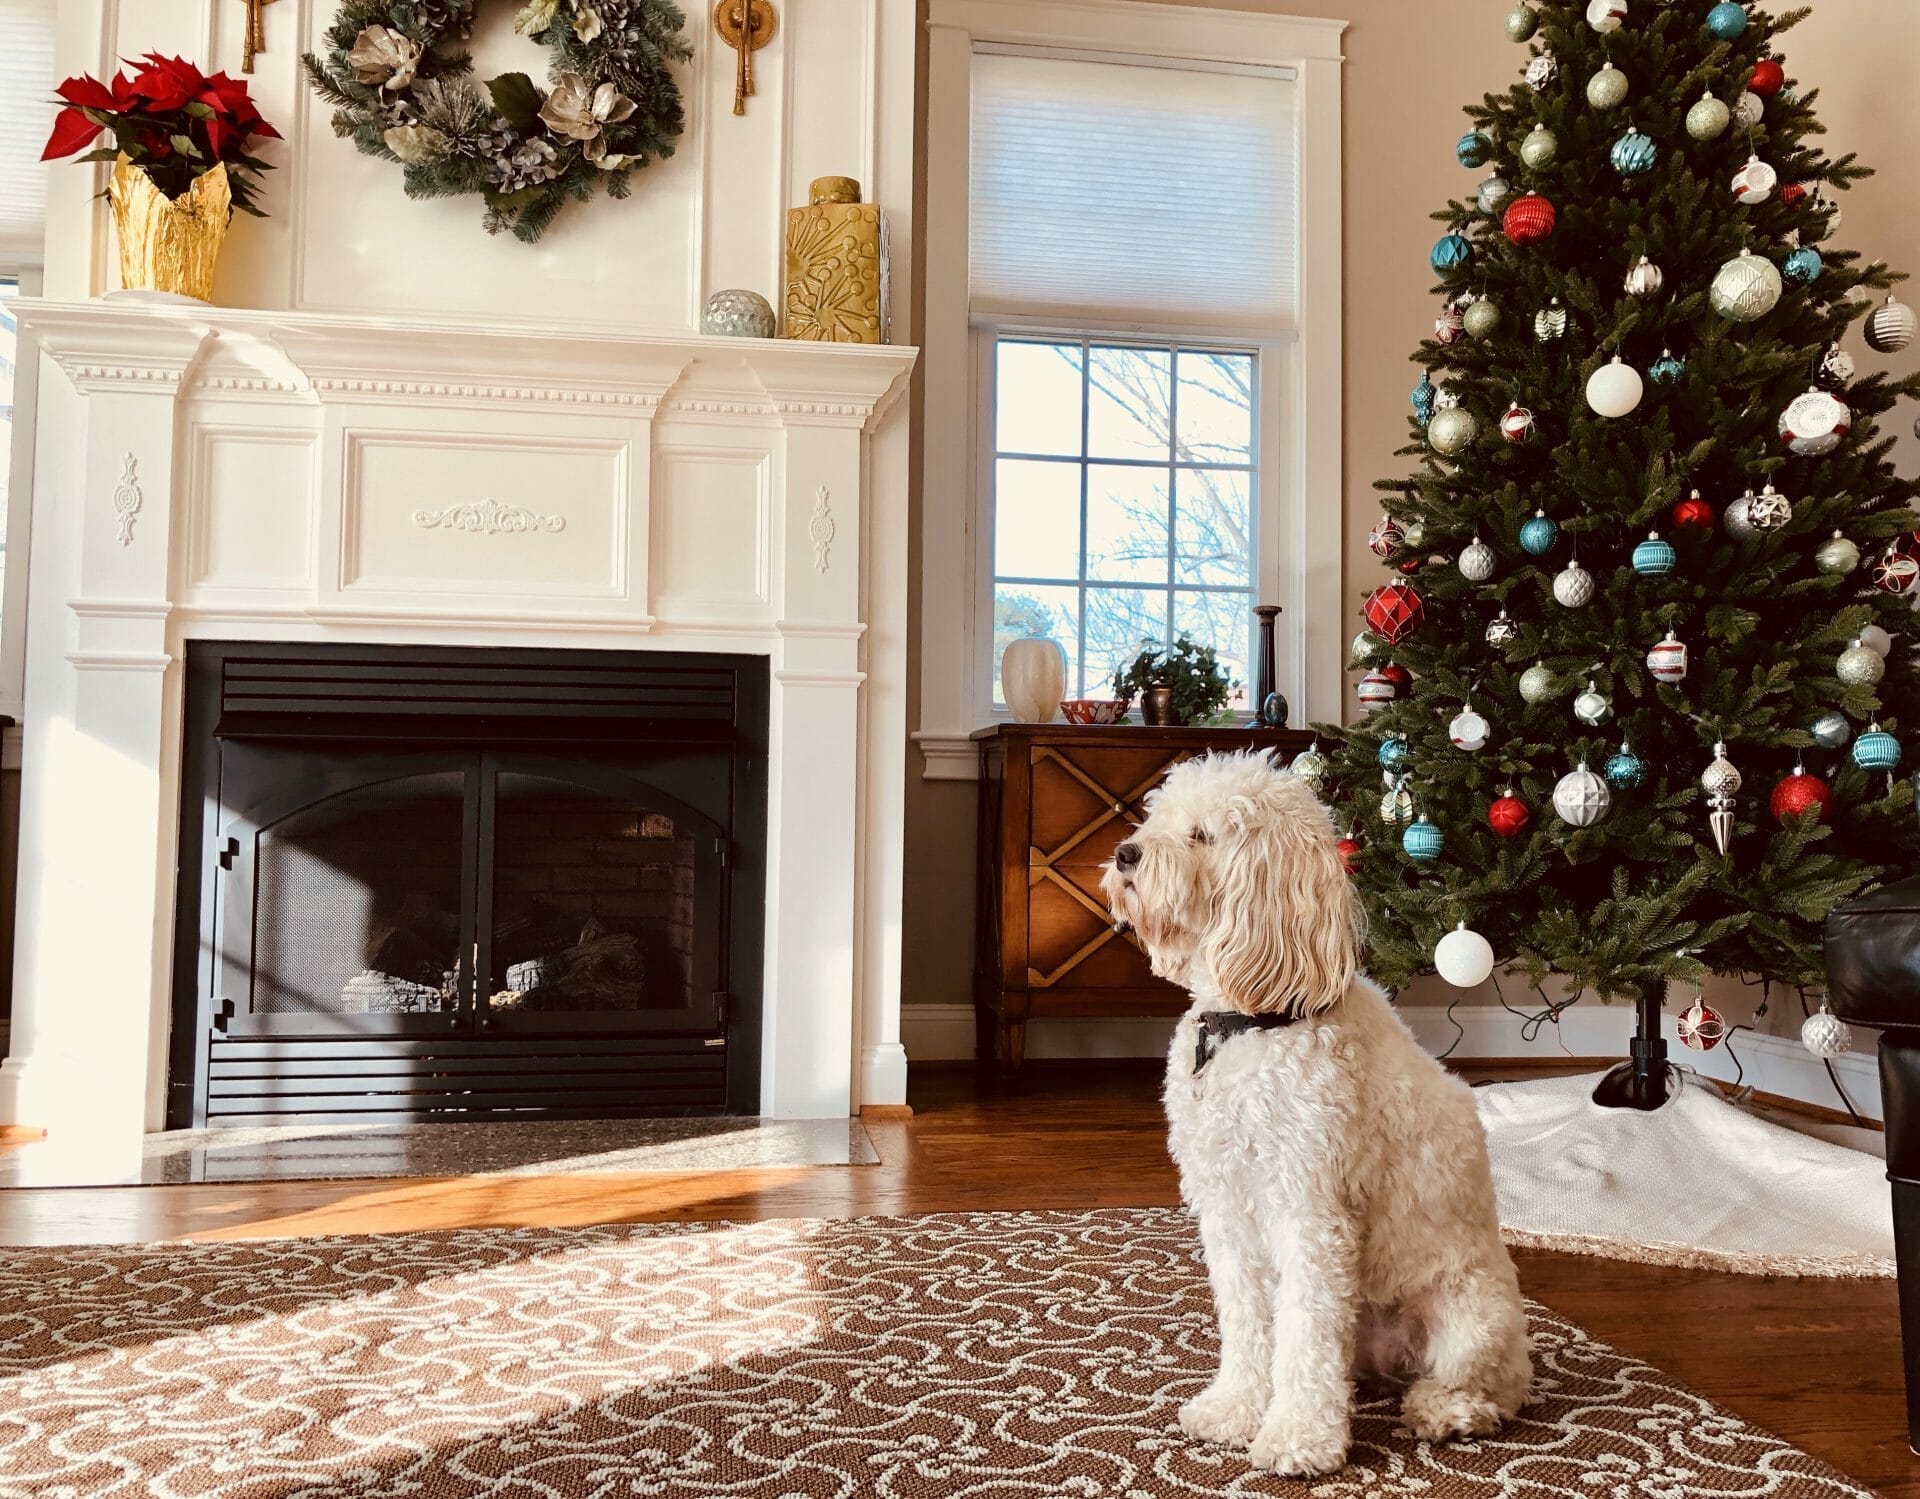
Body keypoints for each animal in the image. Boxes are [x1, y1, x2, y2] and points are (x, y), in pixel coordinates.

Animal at [1098, 748, 1528, 1474]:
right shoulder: (1228, 1210)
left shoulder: (1312, 1212)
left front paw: (1298, 1438)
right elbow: (1248, 1321)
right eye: (1157, 818)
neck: (1251, 1019)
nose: (1127, 853)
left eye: (1202, 835)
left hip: (1473, 1316)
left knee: (1491, 1388)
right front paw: (1234, 1409)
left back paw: (1442, 1410)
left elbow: (1302, 1335)